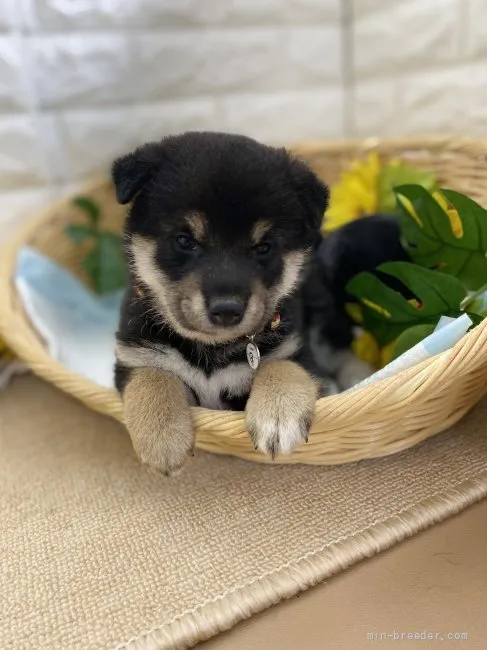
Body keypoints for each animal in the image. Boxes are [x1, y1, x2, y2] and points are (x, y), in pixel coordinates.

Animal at [113, 129, 332, 470]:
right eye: (185, 241)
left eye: (264, 247)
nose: (228, 309)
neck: (211, 350)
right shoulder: (134, 355)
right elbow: (152, 376)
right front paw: (161, 437)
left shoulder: (297, 351)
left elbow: (281, 365)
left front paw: (279, 414)